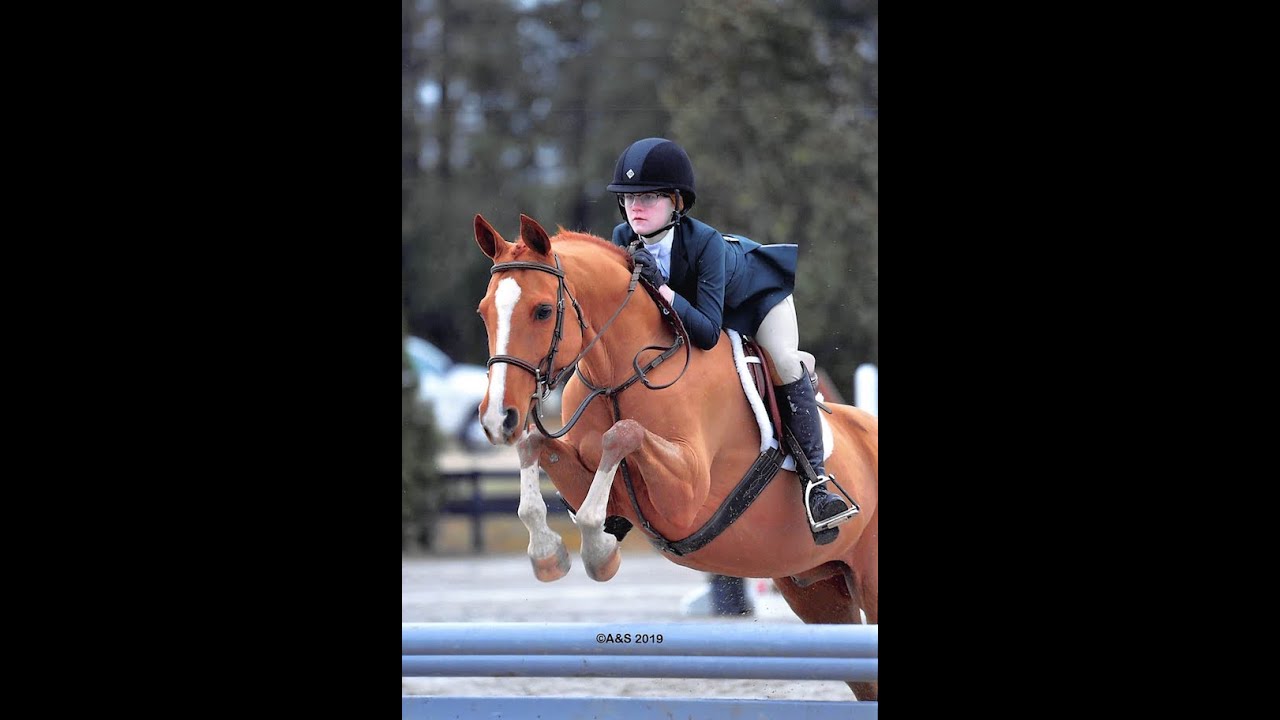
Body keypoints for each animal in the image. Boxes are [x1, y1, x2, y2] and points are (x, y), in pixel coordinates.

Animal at [472, 214, 879, 700]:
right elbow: (536, 444)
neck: (621, 376)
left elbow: (622, 434)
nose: (498, 418)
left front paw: (599, 552)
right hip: (817, 591)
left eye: (542, 311)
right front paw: (549, 555)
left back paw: (825, 501)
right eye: (484, 312)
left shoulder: (685, 496)